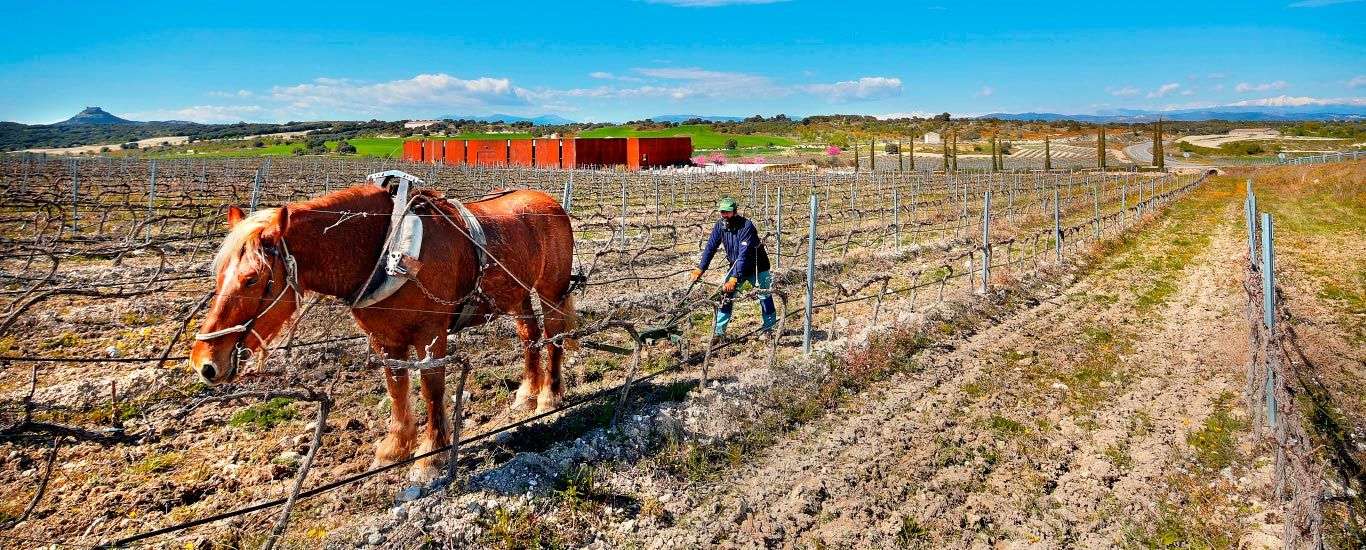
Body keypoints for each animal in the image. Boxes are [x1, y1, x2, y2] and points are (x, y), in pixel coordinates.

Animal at [188, 182, 576, 480]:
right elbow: (396, 387)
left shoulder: (431, 333)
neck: (386, 250)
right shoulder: (385, 339)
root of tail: (549, 202)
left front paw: (431, 457)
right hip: (518, 294)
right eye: (218, 274)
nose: (204, 363)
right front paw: (395, 448)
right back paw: (526, 395)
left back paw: (549, 396)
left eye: (252, 279)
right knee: (529, 336)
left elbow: (431, 389)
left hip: (552, 290)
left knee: (554, 337)